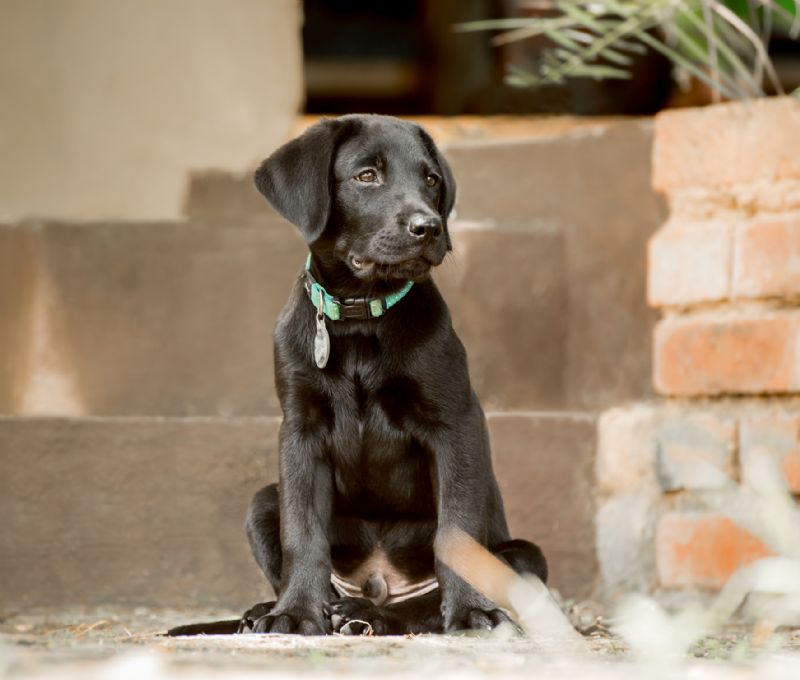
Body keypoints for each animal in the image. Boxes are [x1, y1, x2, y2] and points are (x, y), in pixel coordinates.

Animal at [170, 115, 544, 636]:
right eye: (367, 176)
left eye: (431, 179)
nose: (428, 227)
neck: (361, 315)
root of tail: (379, 581)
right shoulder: (300, 430)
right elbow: (303, 532)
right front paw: (295, 613)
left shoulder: (455, 422)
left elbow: (456, 532)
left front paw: (471, 610)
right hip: (262, 501)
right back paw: (282, 610)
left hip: (526, 555)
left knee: (420, 608)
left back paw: (369, 614)